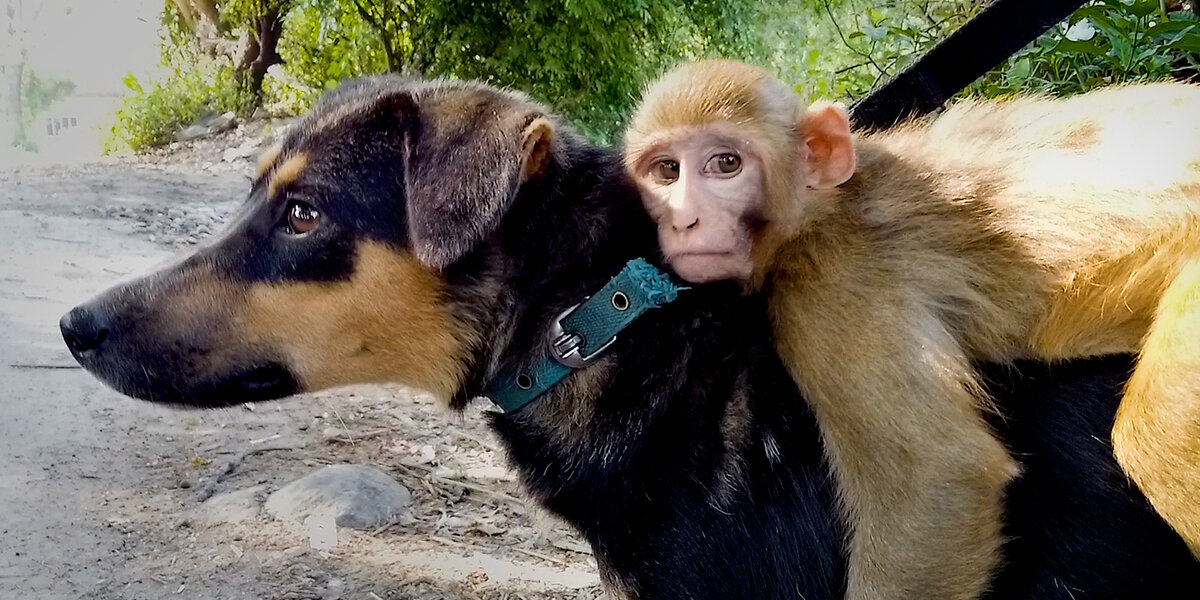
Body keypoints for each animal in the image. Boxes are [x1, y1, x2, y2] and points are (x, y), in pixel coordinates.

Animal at [623, 59, 1200, 600]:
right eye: (666, 171)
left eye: (726, 164)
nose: (684, 219)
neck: (819, 208)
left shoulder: (828, 287)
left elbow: (940, 481)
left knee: (1155, 441)